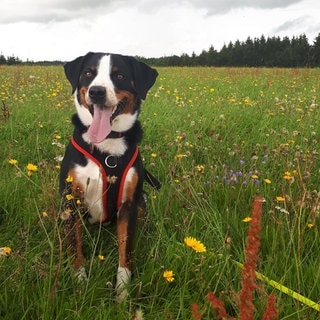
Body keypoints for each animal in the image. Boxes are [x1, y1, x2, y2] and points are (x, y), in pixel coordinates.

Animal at [59, 51, 159, 302]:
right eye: (88, 73)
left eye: (119, 75)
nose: (97, 91)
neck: (106, 149)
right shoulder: (72, 201)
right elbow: (75, 248)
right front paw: (80, 285)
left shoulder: (129, 205)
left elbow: (126, 253)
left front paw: (122, 294)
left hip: (141, 202)